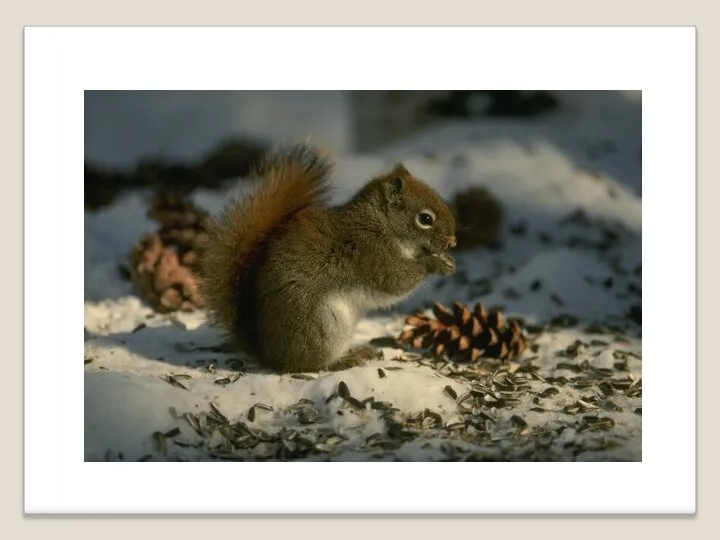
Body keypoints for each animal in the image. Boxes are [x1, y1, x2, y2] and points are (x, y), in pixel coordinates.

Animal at [197, 146, 456, 374]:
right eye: (425, 219)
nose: (452, 242)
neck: (381, 224)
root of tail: (270, 355)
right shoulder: (371, 253)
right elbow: (397, 281)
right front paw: (436, 263)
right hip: (320, 325)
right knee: (310, 364)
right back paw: (344, 360)